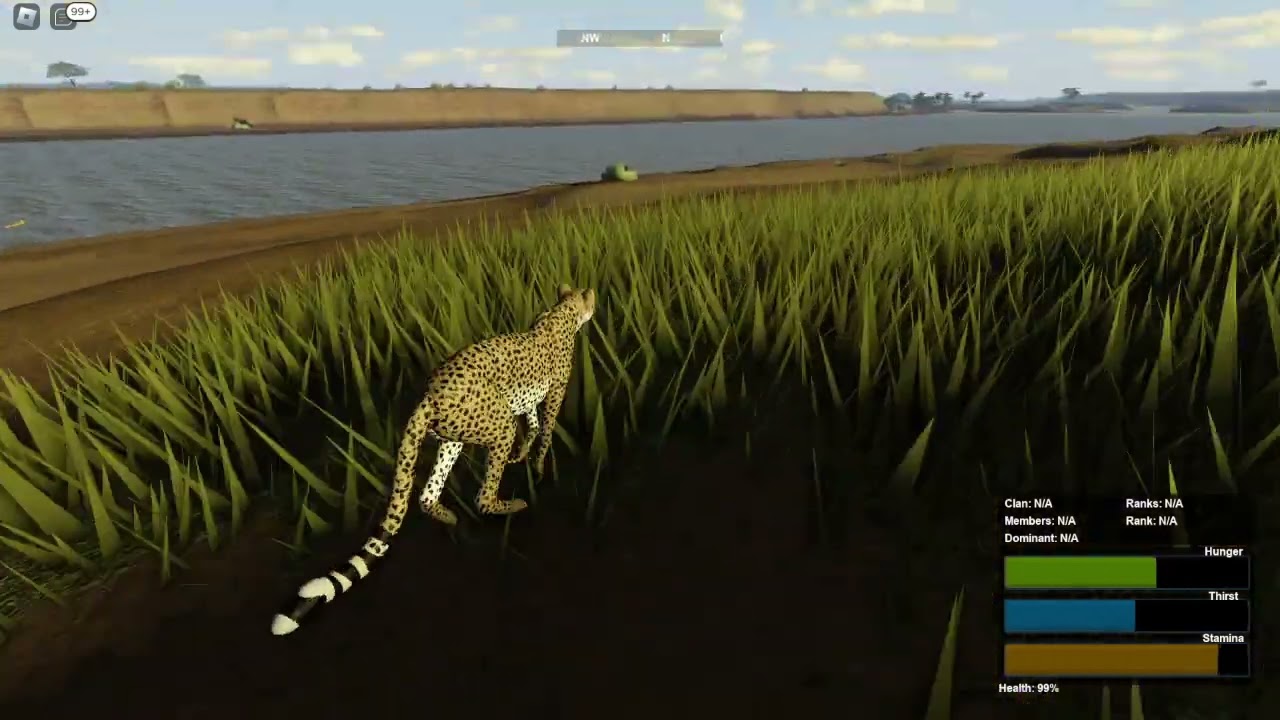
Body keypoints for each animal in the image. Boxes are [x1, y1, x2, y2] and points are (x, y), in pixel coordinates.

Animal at [270, 284, 596, 636]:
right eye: (586, 296)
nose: (592, 299)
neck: (560, 311)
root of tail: (429, 395)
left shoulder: (530, 399)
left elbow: (533, 422)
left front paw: (523, 453)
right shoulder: (555, 392)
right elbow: (546, 427)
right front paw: (538, 463)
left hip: (453, 437)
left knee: (426, 495)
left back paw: (449, 517)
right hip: (497, 426)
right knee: (482, 496)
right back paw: (510, 505)